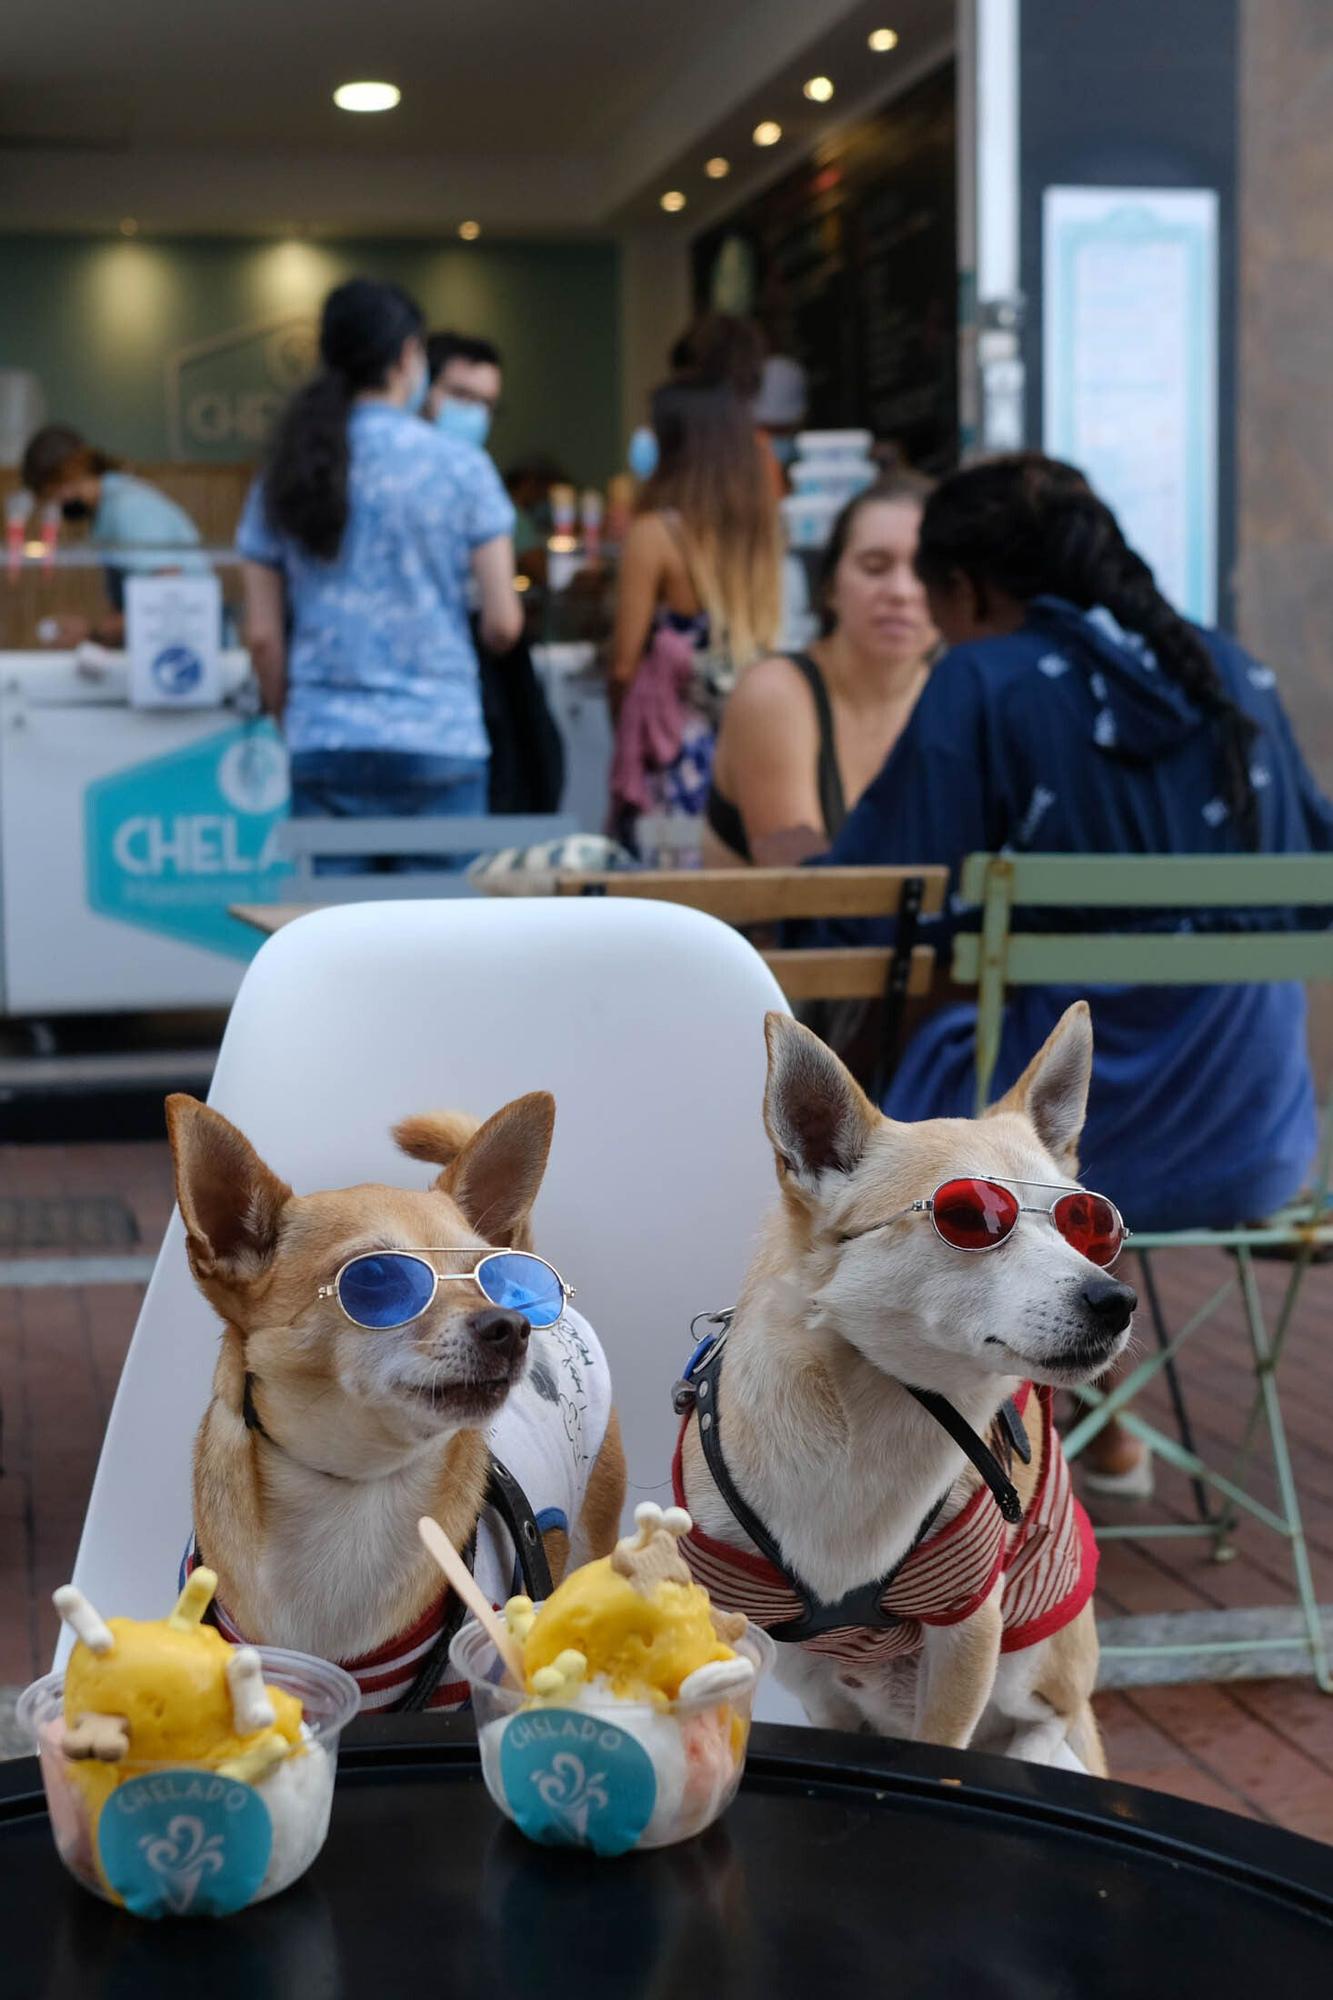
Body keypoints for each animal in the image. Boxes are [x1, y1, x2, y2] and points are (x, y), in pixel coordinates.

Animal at [676, 1000, 1128, 1768]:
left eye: (1086, 1225)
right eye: (971, 1219)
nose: (1114, 1298)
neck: (877, 1411)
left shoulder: (970, 1624)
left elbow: (945, 1744)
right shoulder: (734, 1606)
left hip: (1025, 1660)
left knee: (1051, 1717)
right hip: (810, 1666)